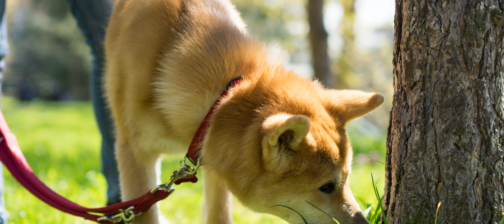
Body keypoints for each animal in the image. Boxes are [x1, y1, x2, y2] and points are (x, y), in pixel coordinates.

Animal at [104, 0, 384, 224]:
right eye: (326, 187)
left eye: (346, 179)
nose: (365, 223)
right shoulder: (134, 155)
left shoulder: (211, 154)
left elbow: (218, 215)